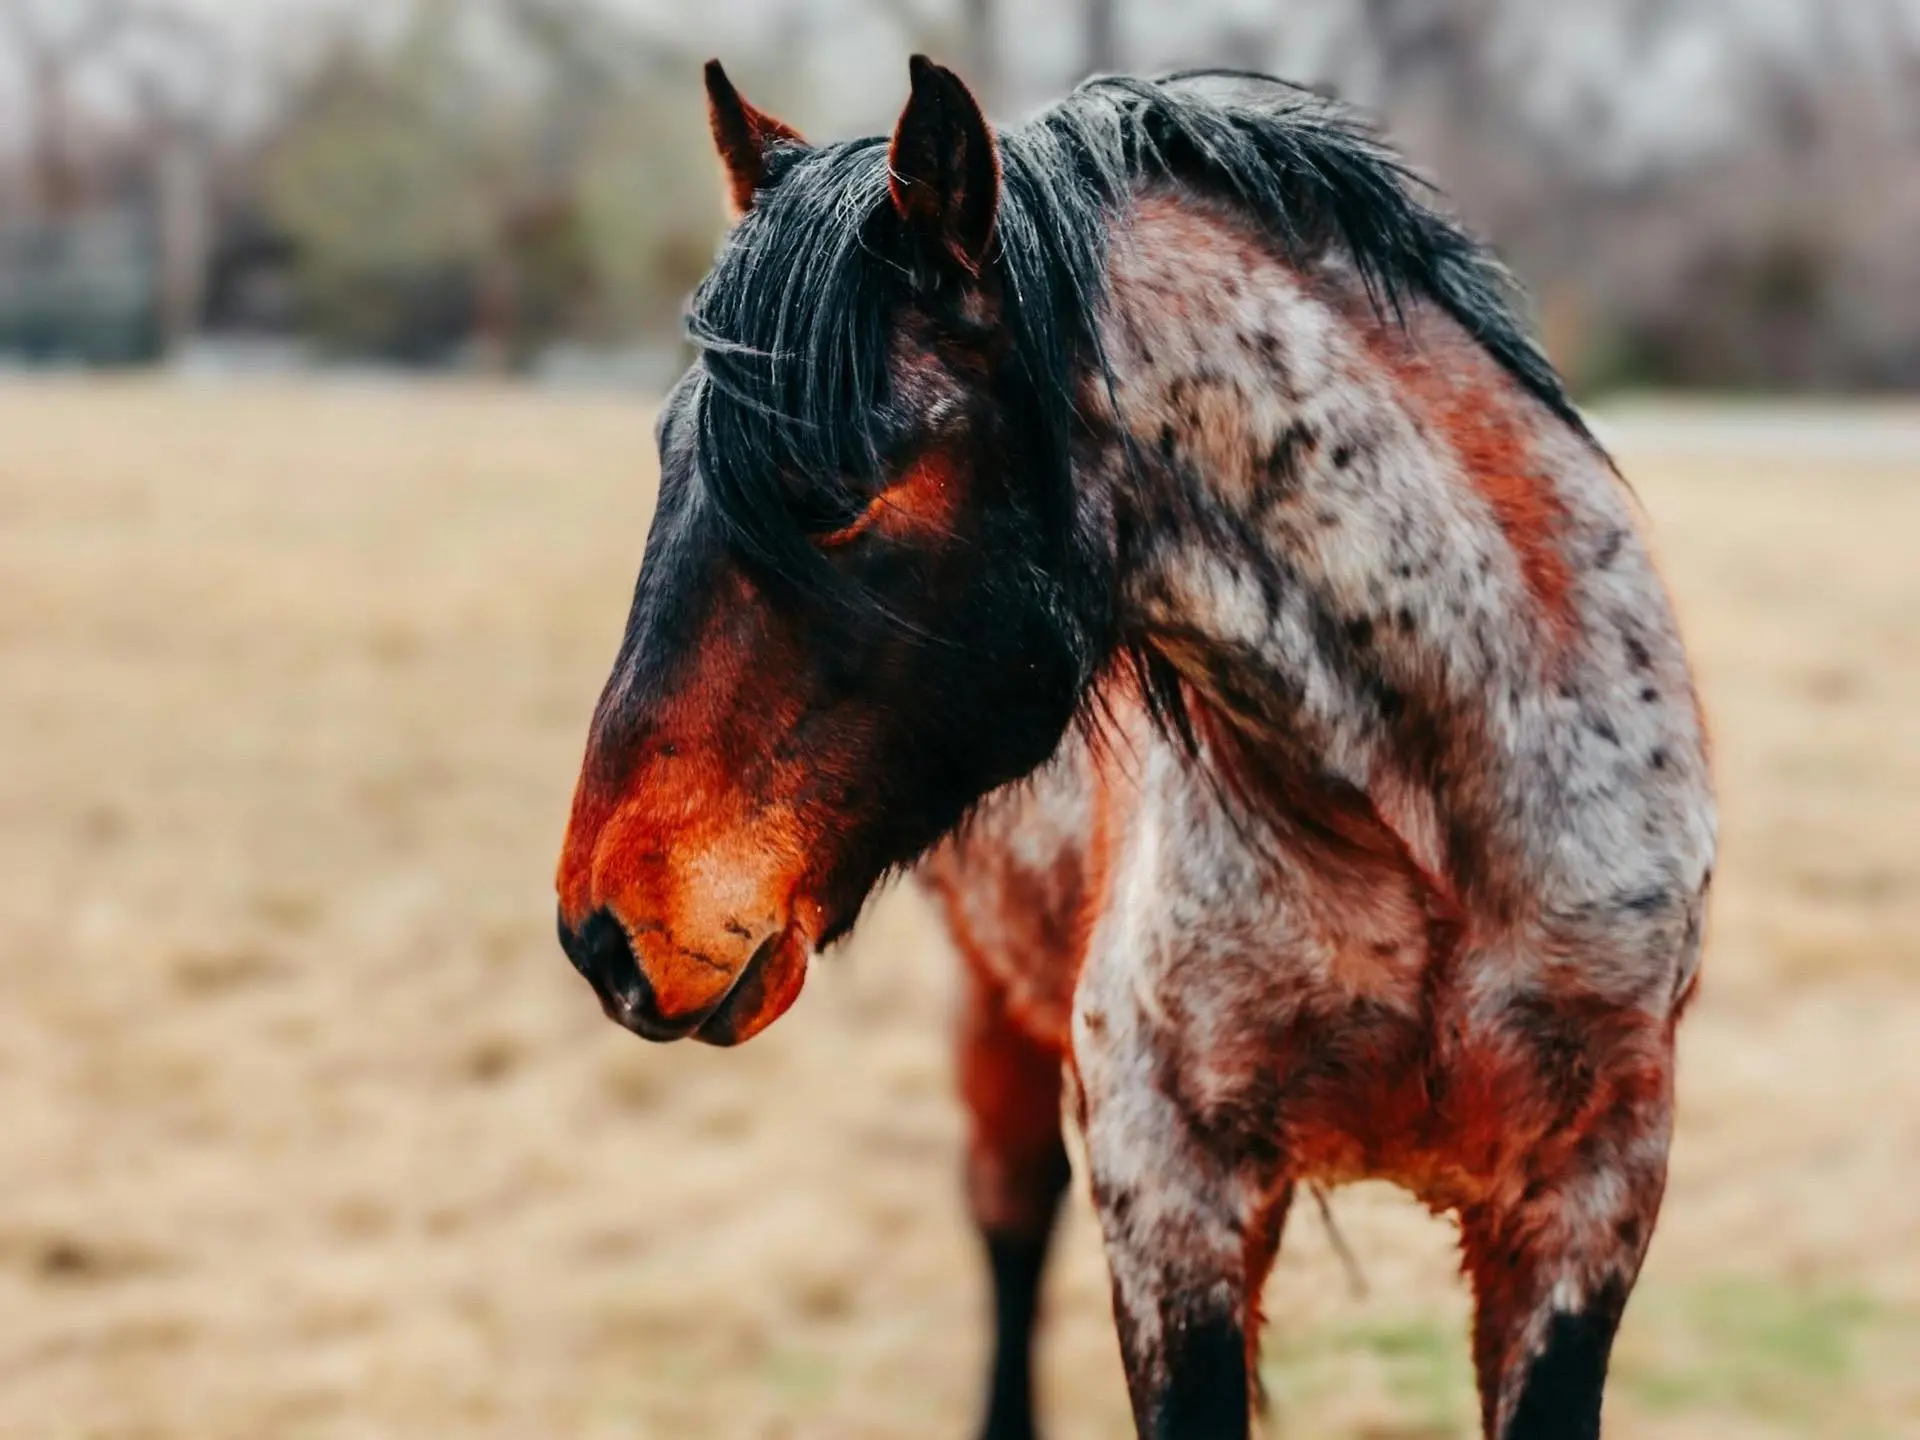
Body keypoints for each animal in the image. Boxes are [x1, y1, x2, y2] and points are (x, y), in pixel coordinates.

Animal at [552, 56, 1712, 1440]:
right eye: (669, 452)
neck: (1436, 834)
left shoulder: (1588, 1200)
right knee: (1008, 1228)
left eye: (828, 491)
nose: (604, 930)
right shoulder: (1166, 1191)